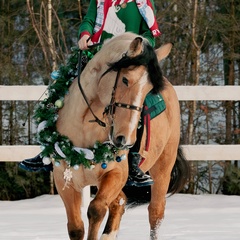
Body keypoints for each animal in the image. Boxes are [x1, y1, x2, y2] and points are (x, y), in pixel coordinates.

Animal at [51, 32, 190, 240]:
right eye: (125, 80)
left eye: (150, 90)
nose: (125, 141)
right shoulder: (64, 179)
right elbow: (76, 228)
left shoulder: (116, 173)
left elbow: (96, 209)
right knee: (120, 203)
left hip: (163, 168)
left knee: (155, 213)